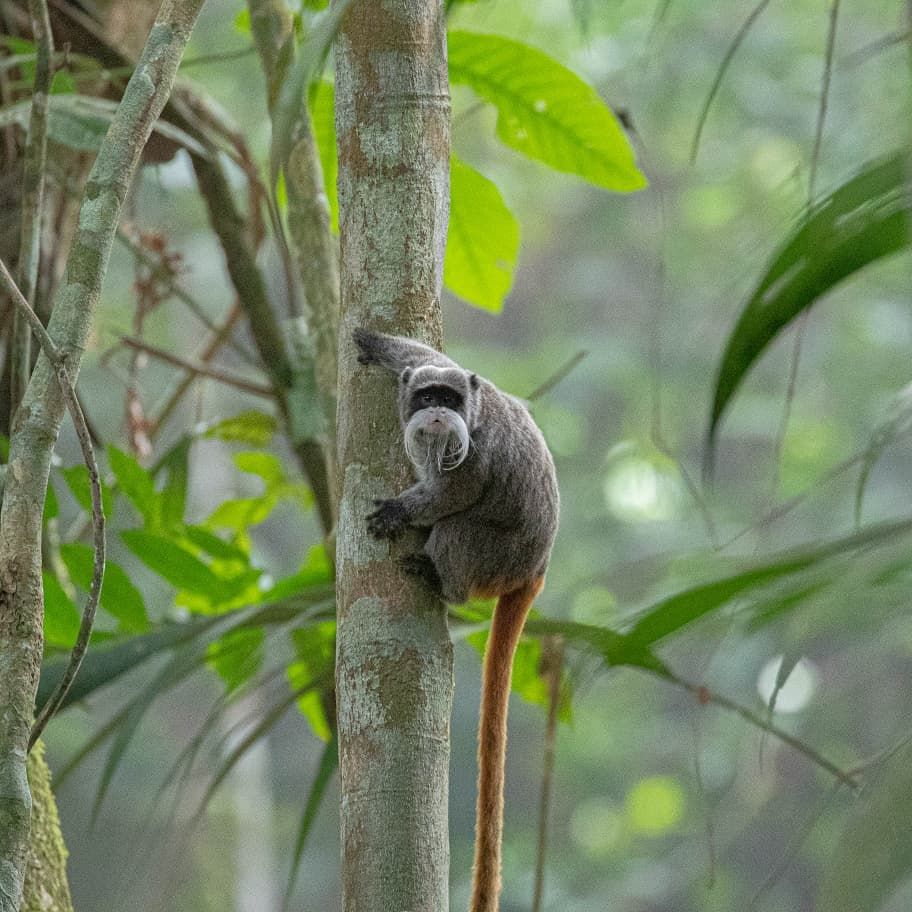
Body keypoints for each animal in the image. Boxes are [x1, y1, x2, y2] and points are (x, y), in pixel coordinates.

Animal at [353, 327, 559, 912]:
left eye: (449, 400)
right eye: (427, 397)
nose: (439, 413)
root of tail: (536, 569)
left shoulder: (474, 454)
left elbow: (452, 496)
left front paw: (399, 511)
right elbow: (422, 355)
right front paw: (372, 343)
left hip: (495, 557)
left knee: (458, 528)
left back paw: (441, 579)